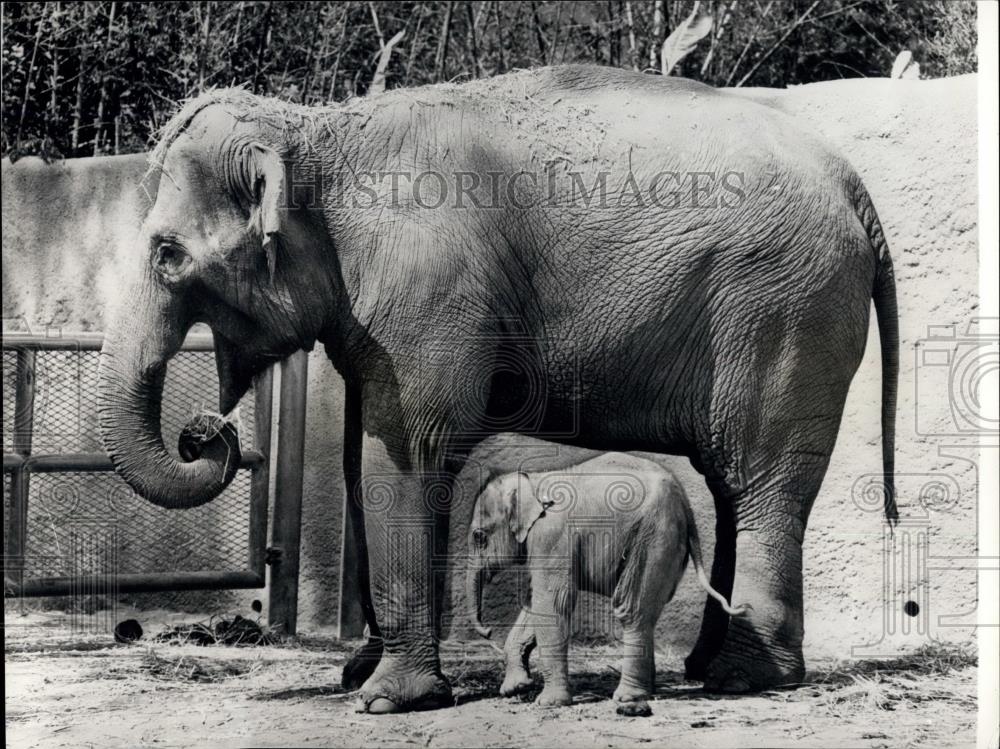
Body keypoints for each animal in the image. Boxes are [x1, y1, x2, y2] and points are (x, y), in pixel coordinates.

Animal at [466, 454, 748, 707]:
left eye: (479, 536)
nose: (487, 631)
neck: (533, 480)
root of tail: (686, 506)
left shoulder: (552, 537)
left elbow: (552, 603)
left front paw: (548, 703)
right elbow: (535, 602)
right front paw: (515, 688)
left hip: (653, 536)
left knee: (631, 608)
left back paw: (628, 697)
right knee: (647, 611)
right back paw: (646, 691)